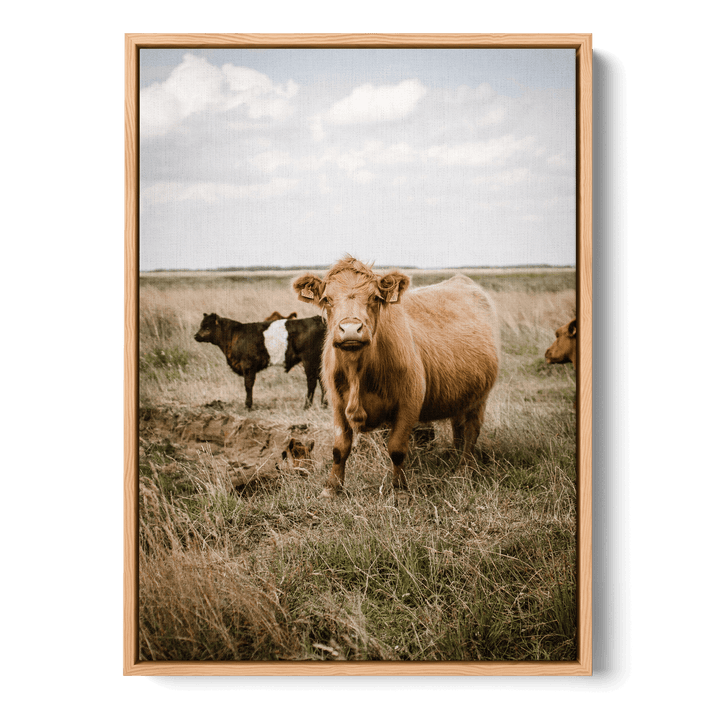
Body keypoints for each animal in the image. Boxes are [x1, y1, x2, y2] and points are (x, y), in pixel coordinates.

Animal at [194, 313, 327, 410]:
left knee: (312, 382)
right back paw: (324, 405)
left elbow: (248, 385)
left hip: (309, 360)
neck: (233, 335)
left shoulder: (248, 365)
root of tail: (317, 318)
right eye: (201, 325)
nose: (196, 336)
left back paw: (307, 406)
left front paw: (248, 405)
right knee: (322, 380)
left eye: (207, 327)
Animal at [293, 256, 500, 500]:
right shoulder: (337, 403)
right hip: (461, 392)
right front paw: (331, 488)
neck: (358, 373)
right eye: (327, 299)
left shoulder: (409, 403)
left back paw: (464, 469)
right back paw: (453, 456)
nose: (351, 329)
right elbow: (339, 448)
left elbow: (397, 449)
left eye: (374, 297)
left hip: (480, 396)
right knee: (458, 425)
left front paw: (400, 490)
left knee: (471, 430)